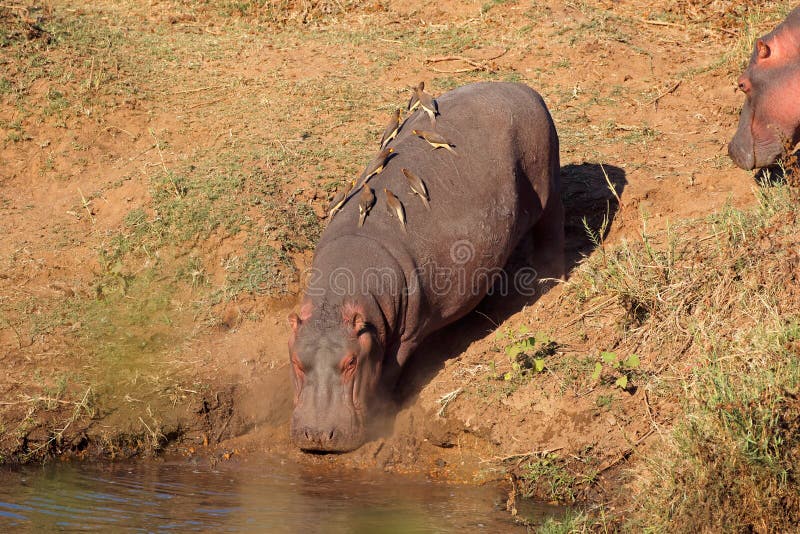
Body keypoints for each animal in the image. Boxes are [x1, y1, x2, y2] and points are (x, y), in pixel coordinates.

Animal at [288, 82, 564, 452]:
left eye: (350, 362)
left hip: (546, 177)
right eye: (296, 361)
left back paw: (548, 279)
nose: (318, 436)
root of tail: (524, 88)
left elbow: (389, 371)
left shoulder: (408, 332)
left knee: (553, 225)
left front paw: (382, 414)